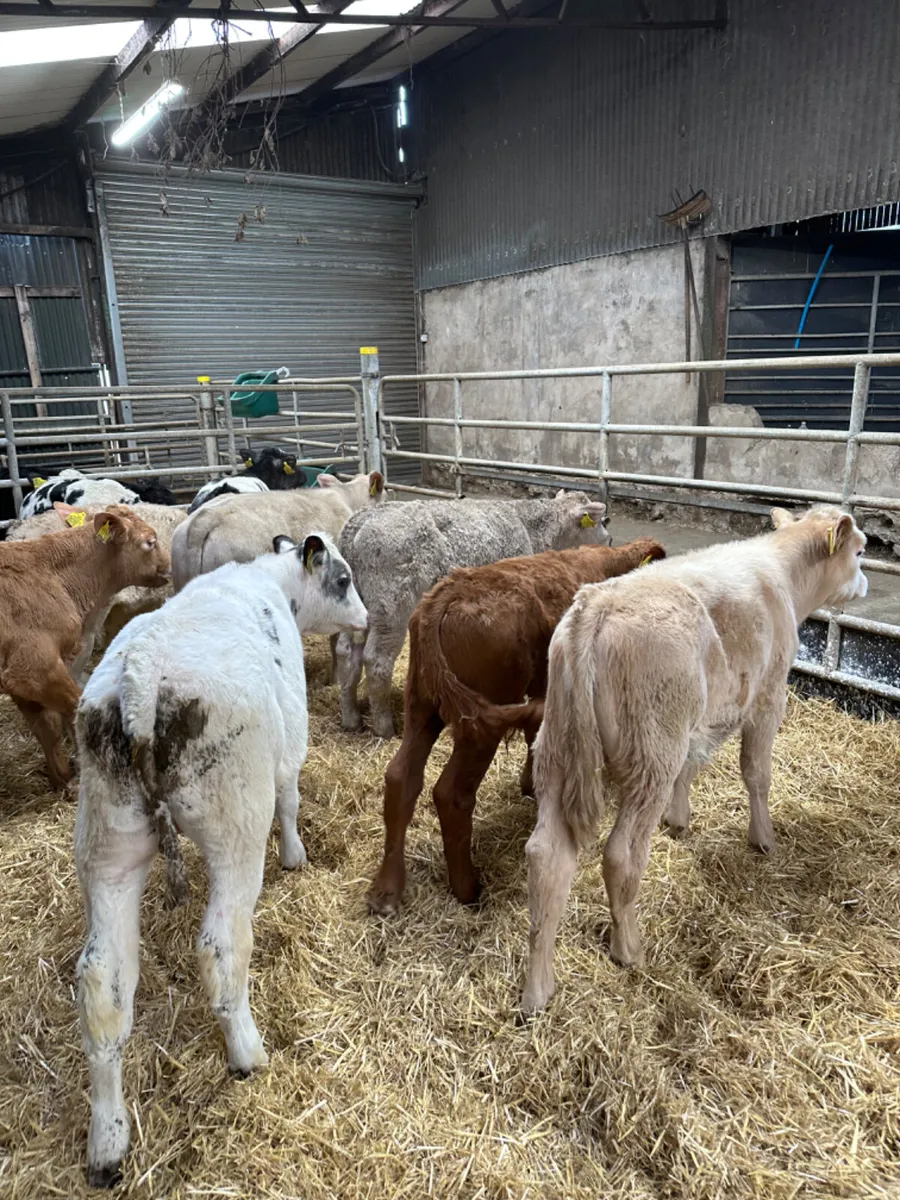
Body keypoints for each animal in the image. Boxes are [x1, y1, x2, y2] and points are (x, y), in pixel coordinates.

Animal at [0, 506, 171, 787]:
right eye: (150, 541)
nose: (168, 565)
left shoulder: (19, 684)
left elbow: (46, 728)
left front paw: (61, 777)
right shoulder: (35, 669)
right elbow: (74, 709)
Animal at [74, 531, 367, 1188]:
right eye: (342, 579)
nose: (365, 619)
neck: (268, 585)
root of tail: (142, 676)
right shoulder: (291, 741)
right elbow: (290, 797)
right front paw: (296, 856)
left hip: (109, 845)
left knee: (104, 983)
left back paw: (108, 1140)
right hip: (233, 830)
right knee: (220, 946)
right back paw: (247, 1052)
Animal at [335, 491, 612, 739]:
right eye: (599, 521)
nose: (609, 540)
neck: (532, 528)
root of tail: (360, 521)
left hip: (355, 607)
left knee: (347, 653)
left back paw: (351, 718)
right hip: (391, 606)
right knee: (376, 660)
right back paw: (385, 727)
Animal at [368, 537, 665, 914]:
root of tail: (448, 592)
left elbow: (536, 737)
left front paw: (531, 783)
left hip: (422, 706)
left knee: (401, 777)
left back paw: (386, 891)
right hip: (478, 728)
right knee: (452, 794)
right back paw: (467, 889)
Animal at [520, 505, 869, 1014]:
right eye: (860, 552)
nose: (864, 584)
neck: (781, 574)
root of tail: (594, 607)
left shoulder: (699, 722)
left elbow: (693, 766)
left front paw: (680, 820)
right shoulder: (768, 696)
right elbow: (756, 773)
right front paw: (764, 839)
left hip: (559, 750)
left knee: (548, 856)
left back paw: (538, 989)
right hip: (650, 754)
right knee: (621, 855)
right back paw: (628, 949)